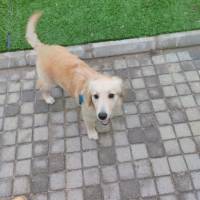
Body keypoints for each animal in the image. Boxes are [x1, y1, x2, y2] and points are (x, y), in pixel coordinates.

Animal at [26, 10, 123, 139]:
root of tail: (44, 47)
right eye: (95, 96)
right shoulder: (87, 115)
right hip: (48, 81)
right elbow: (90, 125)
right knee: (41, 86)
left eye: (111, 95)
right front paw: (92, 134)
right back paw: (48, 98)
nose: (102, 115)